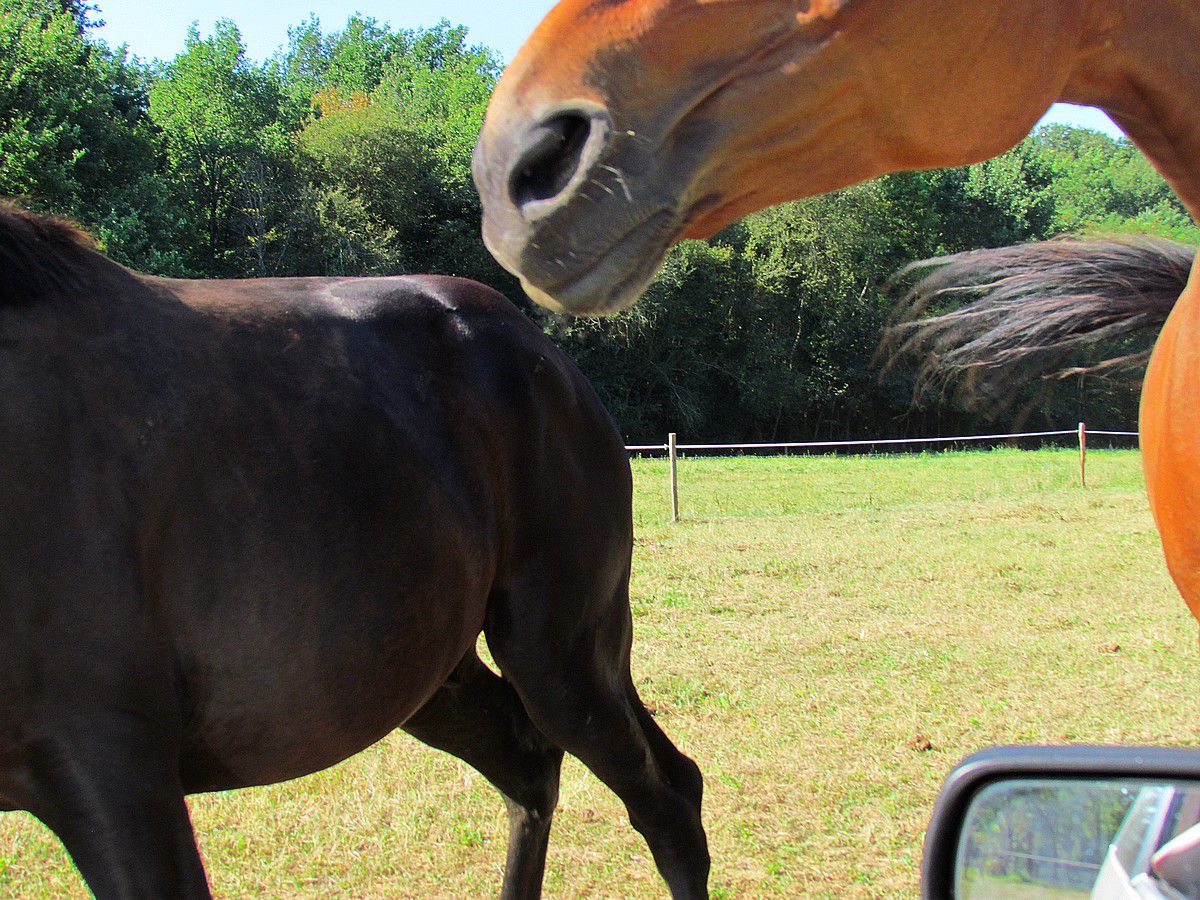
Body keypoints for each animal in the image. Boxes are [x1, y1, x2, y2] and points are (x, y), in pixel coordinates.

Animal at [0, 202, 708, 899]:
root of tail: (552, 363)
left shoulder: (116, 767)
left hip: (563, 660)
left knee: (668, 798)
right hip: (429, 676)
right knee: (531, 768)